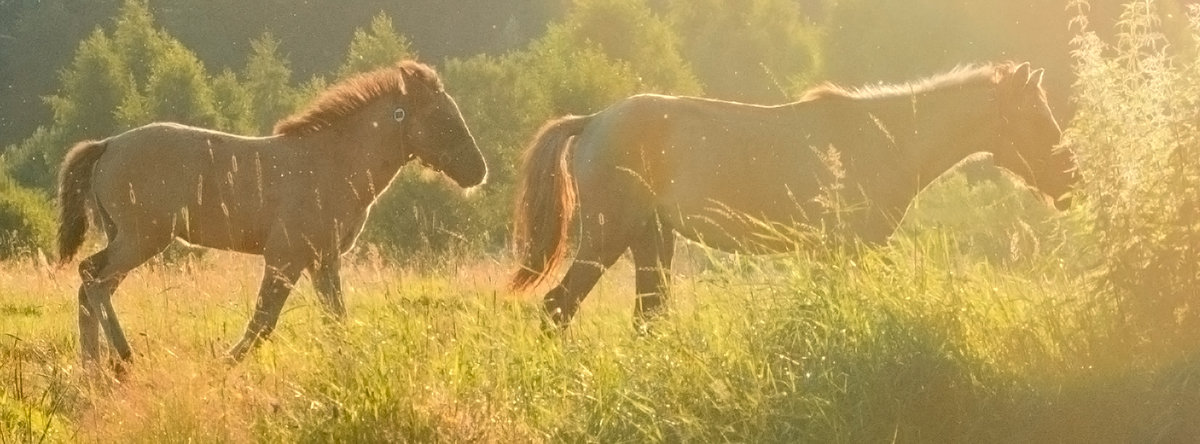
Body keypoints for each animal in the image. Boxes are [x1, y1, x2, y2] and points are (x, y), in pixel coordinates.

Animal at [56, 59, 487, 364]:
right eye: (442, 118)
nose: (478, 170)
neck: (331, 164)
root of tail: (108, 145)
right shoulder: (285, 256)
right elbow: (263, 321)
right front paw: (224, 363)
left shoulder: (322, 259)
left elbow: (335, 317)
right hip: (142, 238)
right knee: (93, 281)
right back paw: (123, 358)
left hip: (128, 238)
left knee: (89, 283)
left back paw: (92, 368)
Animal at [511, 61, 1075, 328]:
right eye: (1035, 116)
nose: (1070, 181)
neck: (885, 138)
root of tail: (592, 122)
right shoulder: (850, 250)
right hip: (605, 241)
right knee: (557, 309)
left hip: (651, 242)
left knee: (645, 318)